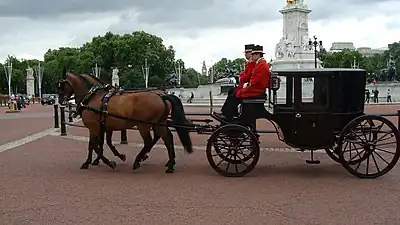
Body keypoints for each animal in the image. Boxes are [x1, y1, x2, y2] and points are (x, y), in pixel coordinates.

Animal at [57, 71, 193, 173]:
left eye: (61, 86)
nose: (60, 101)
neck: (91, 97)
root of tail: (161, 95)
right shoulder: (103, 127)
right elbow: (99, 144)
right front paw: (91, 161)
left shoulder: (94, 127)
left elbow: (95, 145)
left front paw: (109, 162)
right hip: (159, 123)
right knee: (167, 138)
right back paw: (170, 165)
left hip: (143, 125)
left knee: (149, 141)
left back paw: (138, 160)